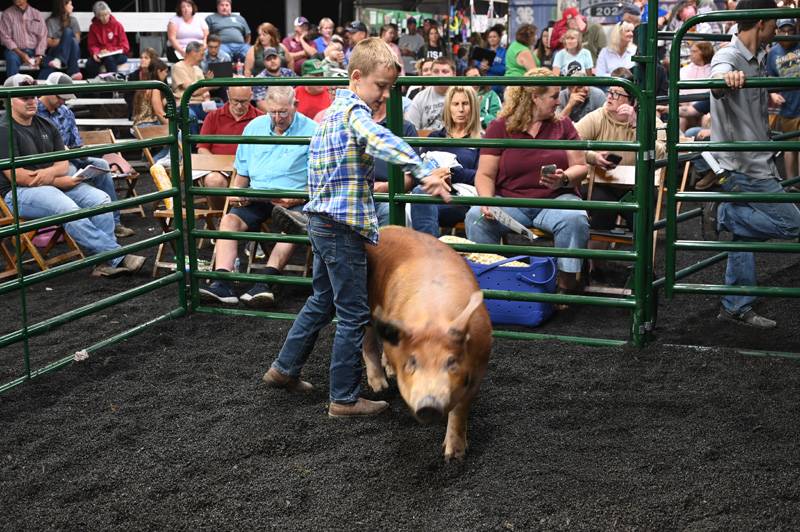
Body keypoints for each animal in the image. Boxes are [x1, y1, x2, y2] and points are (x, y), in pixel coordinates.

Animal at [364, 225, 490, 462]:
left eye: (451, 362)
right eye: (412, 362)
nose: (428, 406)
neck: (434, 317)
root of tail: (385, 228)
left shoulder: (479, 369)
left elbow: (460, 410)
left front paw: (453, 457)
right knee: (367, 340)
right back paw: (380, 388)